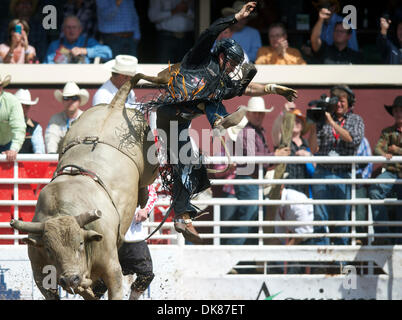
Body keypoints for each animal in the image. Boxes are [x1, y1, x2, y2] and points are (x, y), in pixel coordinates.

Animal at [9, 70, 171, 300]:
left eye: (79, 243)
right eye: (49, 249)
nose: (70, 279)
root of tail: (115, 106)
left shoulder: (112, 268)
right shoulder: (40, 274)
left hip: (151, 163)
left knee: (146, 182)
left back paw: (144, 197)